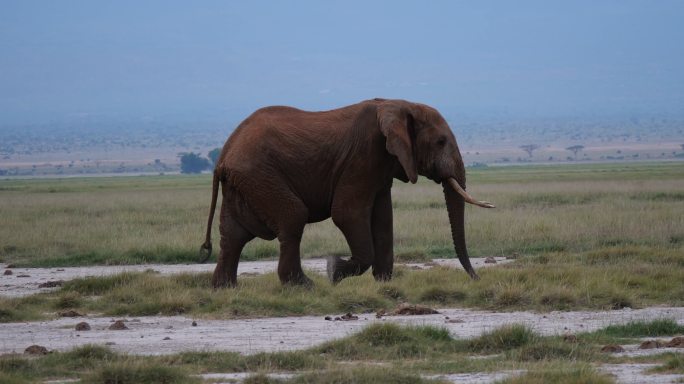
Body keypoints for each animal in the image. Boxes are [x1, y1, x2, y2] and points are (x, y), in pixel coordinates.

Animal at [200, 99, 494, 288]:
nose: (476, 279)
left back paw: (224, 288)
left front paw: (383, 283)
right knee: (293, 217)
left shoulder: (381, 165)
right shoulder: (363, 156)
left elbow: (383, 219)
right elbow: (347, 214)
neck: (399, 104)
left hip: (244, 183)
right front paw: (333, 271)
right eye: (441, 142)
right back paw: (303, 286)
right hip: (260, 176)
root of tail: (223, 156)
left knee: (234, 234)